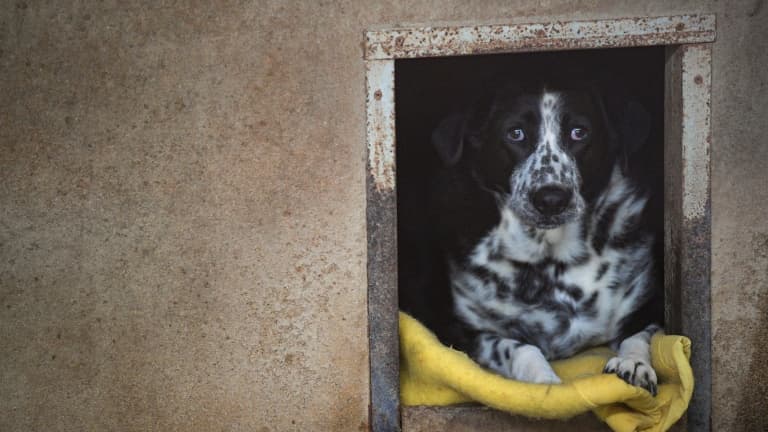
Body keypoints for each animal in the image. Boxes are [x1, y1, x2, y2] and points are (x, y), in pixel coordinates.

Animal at [424, 80, 664, 394]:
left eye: (579, 132)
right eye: (515, 133)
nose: (551, 199)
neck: (552, 261)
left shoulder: (648, 305)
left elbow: (638, 336)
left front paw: (633, 364)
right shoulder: (460, 330)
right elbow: (520, 348)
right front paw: (544, 382)